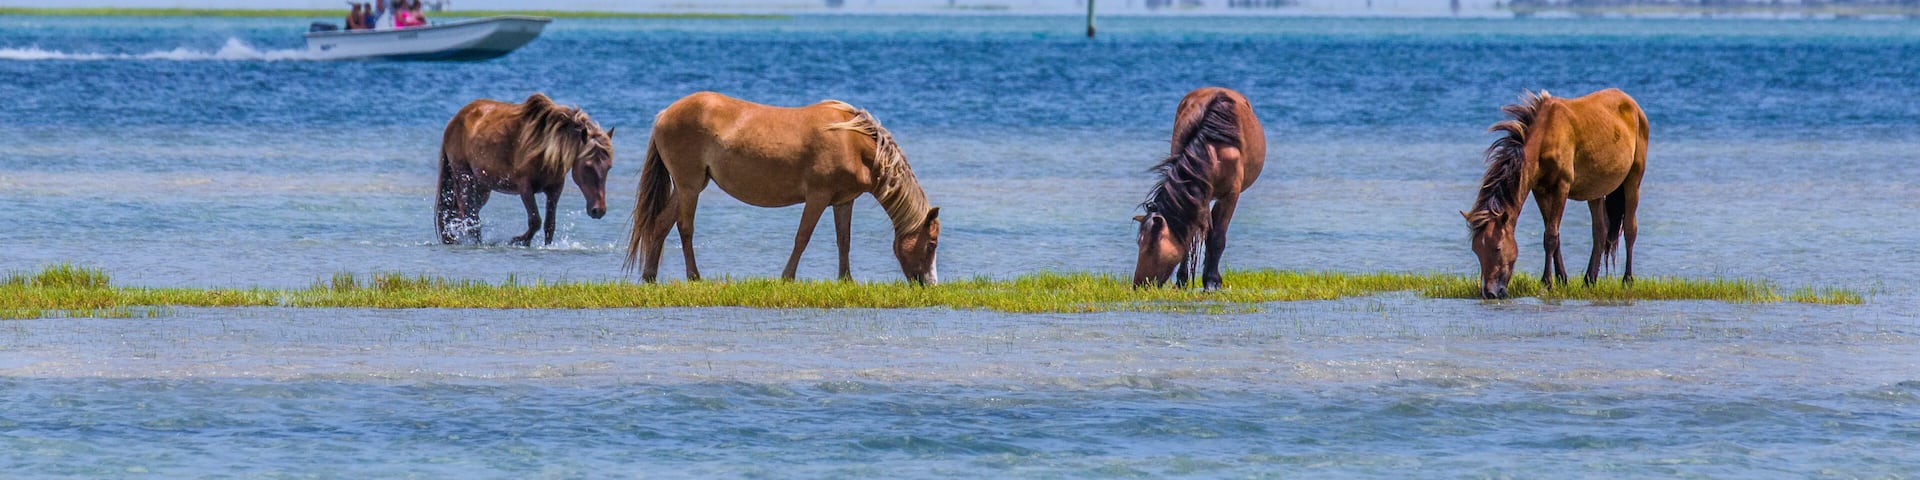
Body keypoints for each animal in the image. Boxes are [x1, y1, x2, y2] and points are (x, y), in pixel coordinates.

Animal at [436, 93, 613, 246]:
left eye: (609, 167)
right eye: (587, 166)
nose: (598, 210)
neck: (546, 150)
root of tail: (454, 120)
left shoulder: (555, 190)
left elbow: (550, 225)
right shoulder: (525, 187)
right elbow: (535, 221)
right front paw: (518, 241)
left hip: (482, 187)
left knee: (461, 214)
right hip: (464, 176)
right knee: (469, 214)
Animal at [623, 92, 941, 285]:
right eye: (932, 244)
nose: (929, 284)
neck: (852, 142)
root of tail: (665, 113)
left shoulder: (843, 201)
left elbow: (844, 240)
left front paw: (846, 280)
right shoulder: (817, 197)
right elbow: (802, 237)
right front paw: (787, 277)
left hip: (688, 186)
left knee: (661, 223)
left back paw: (650, 276)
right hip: (689, 186)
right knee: (685, 228)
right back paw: (694, 276)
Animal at [1132, 87, 1267, 290]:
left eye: (1151, 246)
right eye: (1139, 243)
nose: (1139, 284)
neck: (1213, 149)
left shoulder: (1230, 196)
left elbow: (1217, 237)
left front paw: (1211, 281)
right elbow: (1189, 238)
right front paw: (1182, 280)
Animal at [1462, 88, 1648, 299]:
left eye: (1497, 248)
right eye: (1476, 249)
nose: (1490, 292)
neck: (1547, 134)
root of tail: (1633, 105)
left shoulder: (1561, 186)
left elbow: (1550, 235)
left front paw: (1547, 282)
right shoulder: (1540, 190)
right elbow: (1553, 234)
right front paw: (1561, 279)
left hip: (1633, 180)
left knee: (1630, 229)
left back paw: (1627, 280)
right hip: (1595, 191)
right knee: (1600, 231)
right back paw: (1589, 279)